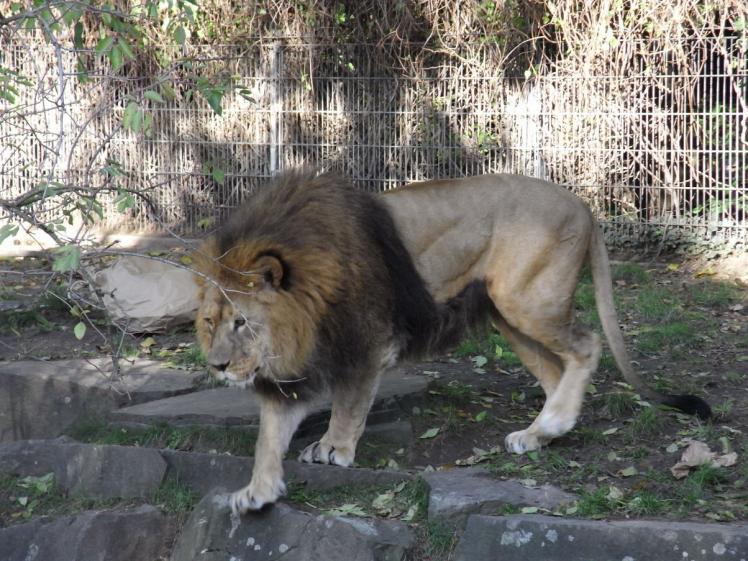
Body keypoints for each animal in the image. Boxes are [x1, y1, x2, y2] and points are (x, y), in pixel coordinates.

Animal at [193, 170, 708, 512]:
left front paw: (333, 448)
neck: (303, 317)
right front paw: (255, 492)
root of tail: (583, 205)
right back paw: (540, 433)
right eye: (209, 322)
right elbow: (268, 435)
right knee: (556, 371)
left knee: (586, 346)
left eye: (242, 322)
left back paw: (552, 423)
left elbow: (349, 403)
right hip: (507, 313)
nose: (218, 367)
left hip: (527, 299)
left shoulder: (368, 343)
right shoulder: (297, 370)